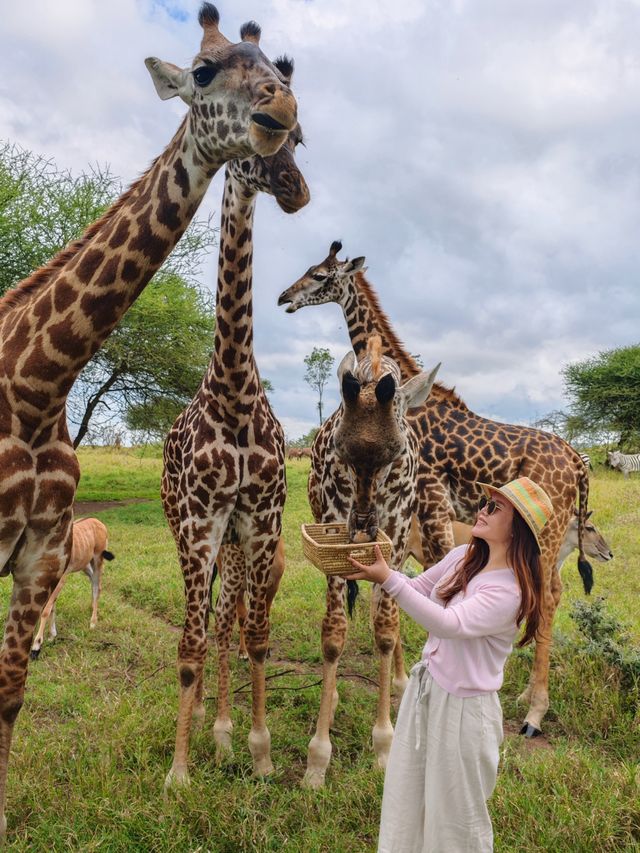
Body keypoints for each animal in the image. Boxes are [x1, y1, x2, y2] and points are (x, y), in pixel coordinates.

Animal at [0, 5, 298, 832]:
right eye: (202, 71)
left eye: (281, 69)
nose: (284, 130)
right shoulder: (197, 517)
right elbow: (192, 643)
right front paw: (181, 770)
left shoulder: (254, 512)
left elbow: (249, 631)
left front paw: (254, 753)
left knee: (229, 618)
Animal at [278, 240, 592, 740]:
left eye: (320, 275)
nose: (284, 297)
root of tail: (578, 464)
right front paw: (401, 680)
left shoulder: (426, 498)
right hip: (555, 534)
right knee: (553, 594)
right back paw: (526, 695)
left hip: (546, 531)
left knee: (546, 596)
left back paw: (534, 713)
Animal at [298, 336, 438, 788]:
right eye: (340, 450)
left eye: (395, 454)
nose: (361, 522)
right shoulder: (333, 529)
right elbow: (333, 634)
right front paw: (318, 759)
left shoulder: (393, 538)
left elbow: (386, 631)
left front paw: (384, 745)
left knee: (386, 610)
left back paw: (398, 682)